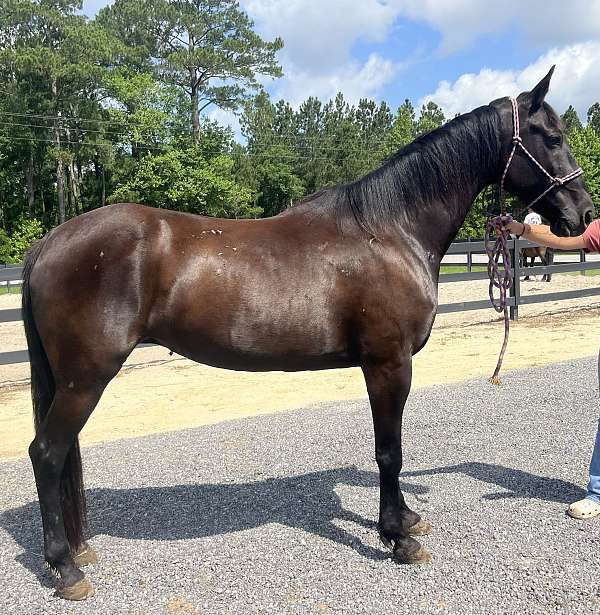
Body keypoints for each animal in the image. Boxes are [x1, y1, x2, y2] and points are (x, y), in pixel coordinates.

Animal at [21, 67, 592, 600]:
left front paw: (406, 519)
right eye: (551, 137)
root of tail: (50, 241)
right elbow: (390, 450)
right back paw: (66, 569)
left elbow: (392, 448)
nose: (583, 214)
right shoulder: (388, 364)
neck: (390, 230)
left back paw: (77, 552)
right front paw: (398, 538)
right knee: (46, 453)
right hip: (85, 379)